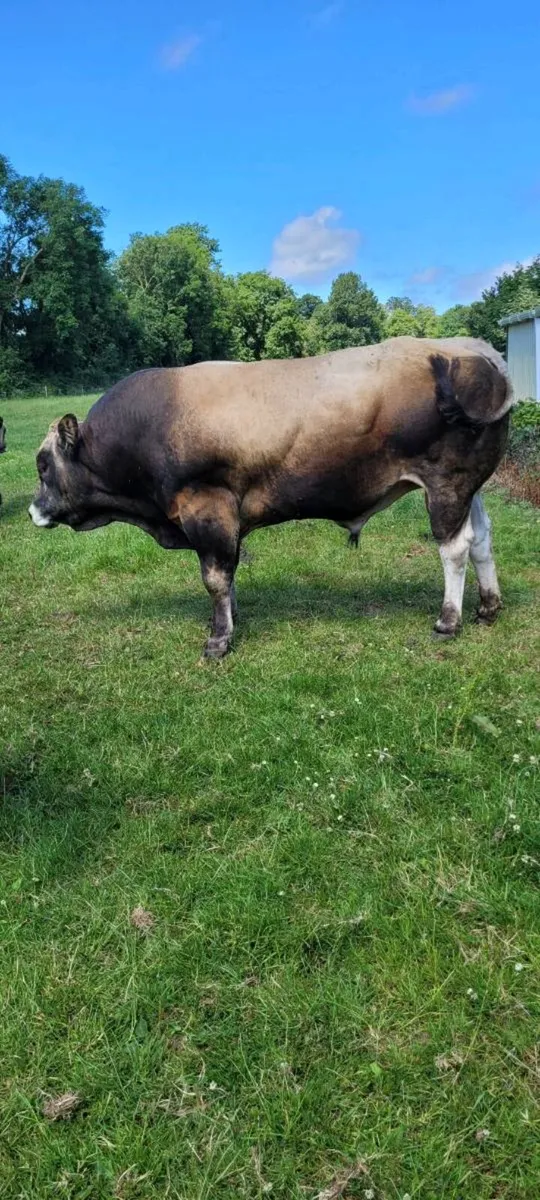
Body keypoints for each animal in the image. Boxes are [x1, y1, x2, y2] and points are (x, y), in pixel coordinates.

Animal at [29, 337, 512, 658]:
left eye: (43, 464)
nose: (33, 509)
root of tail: (472, 349)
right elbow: (229, 574)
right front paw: (230, 618)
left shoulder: (207, 508)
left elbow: (215, 576)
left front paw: (218, 640)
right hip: (469, 487)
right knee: (482, 539)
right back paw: (488, 607)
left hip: (446, 484)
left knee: (455, 548)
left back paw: (448, 620)